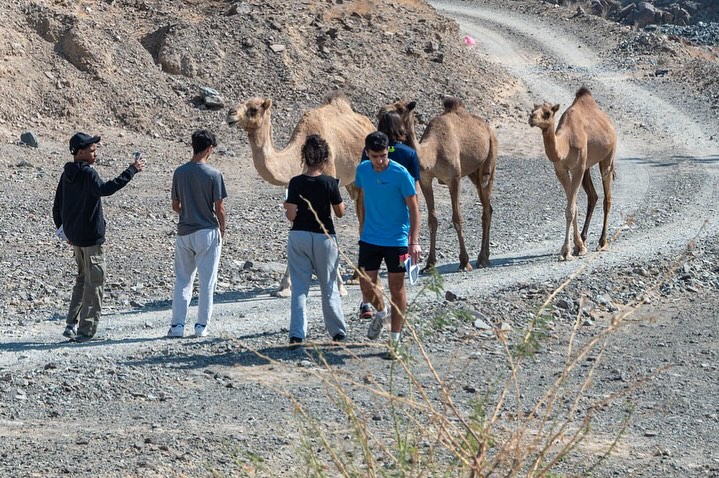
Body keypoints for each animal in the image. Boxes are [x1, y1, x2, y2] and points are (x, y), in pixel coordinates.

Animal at [226, 90, 376, 296]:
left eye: (253, 109)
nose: (230, 114)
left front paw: (339, 286)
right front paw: (283, 287)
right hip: (352, 182)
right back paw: (356, 276)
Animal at [380, 96, 498, 272]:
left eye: (401, 109)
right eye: (381, 112)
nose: (385, 118)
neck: (433, 153)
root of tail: (488, 127)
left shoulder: (454, 179)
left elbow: (457, 218)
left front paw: (464, 262)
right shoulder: (425, 180)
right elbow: (432, 220)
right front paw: (429, 264)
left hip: (490, 159)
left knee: (486, 207)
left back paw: (482, 259)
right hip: (474, 173)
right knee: (488, 207)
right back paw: (485, 257)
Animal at [528, 86, 620, 262]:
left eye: (547, 113)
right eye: (532, 110)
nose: (531, 118)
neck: (565, 143)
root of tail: (610, 124)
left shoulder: (577, 168)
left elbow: (571, 209)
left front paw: (567, 251)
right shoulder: (561, 170)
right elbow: (573, 207)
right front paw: (578, 247)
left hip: (607, 156)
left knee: (607, 198)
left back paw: (602, 242)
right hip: (587, 166)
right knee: (593, 196)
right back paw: (584, 238)